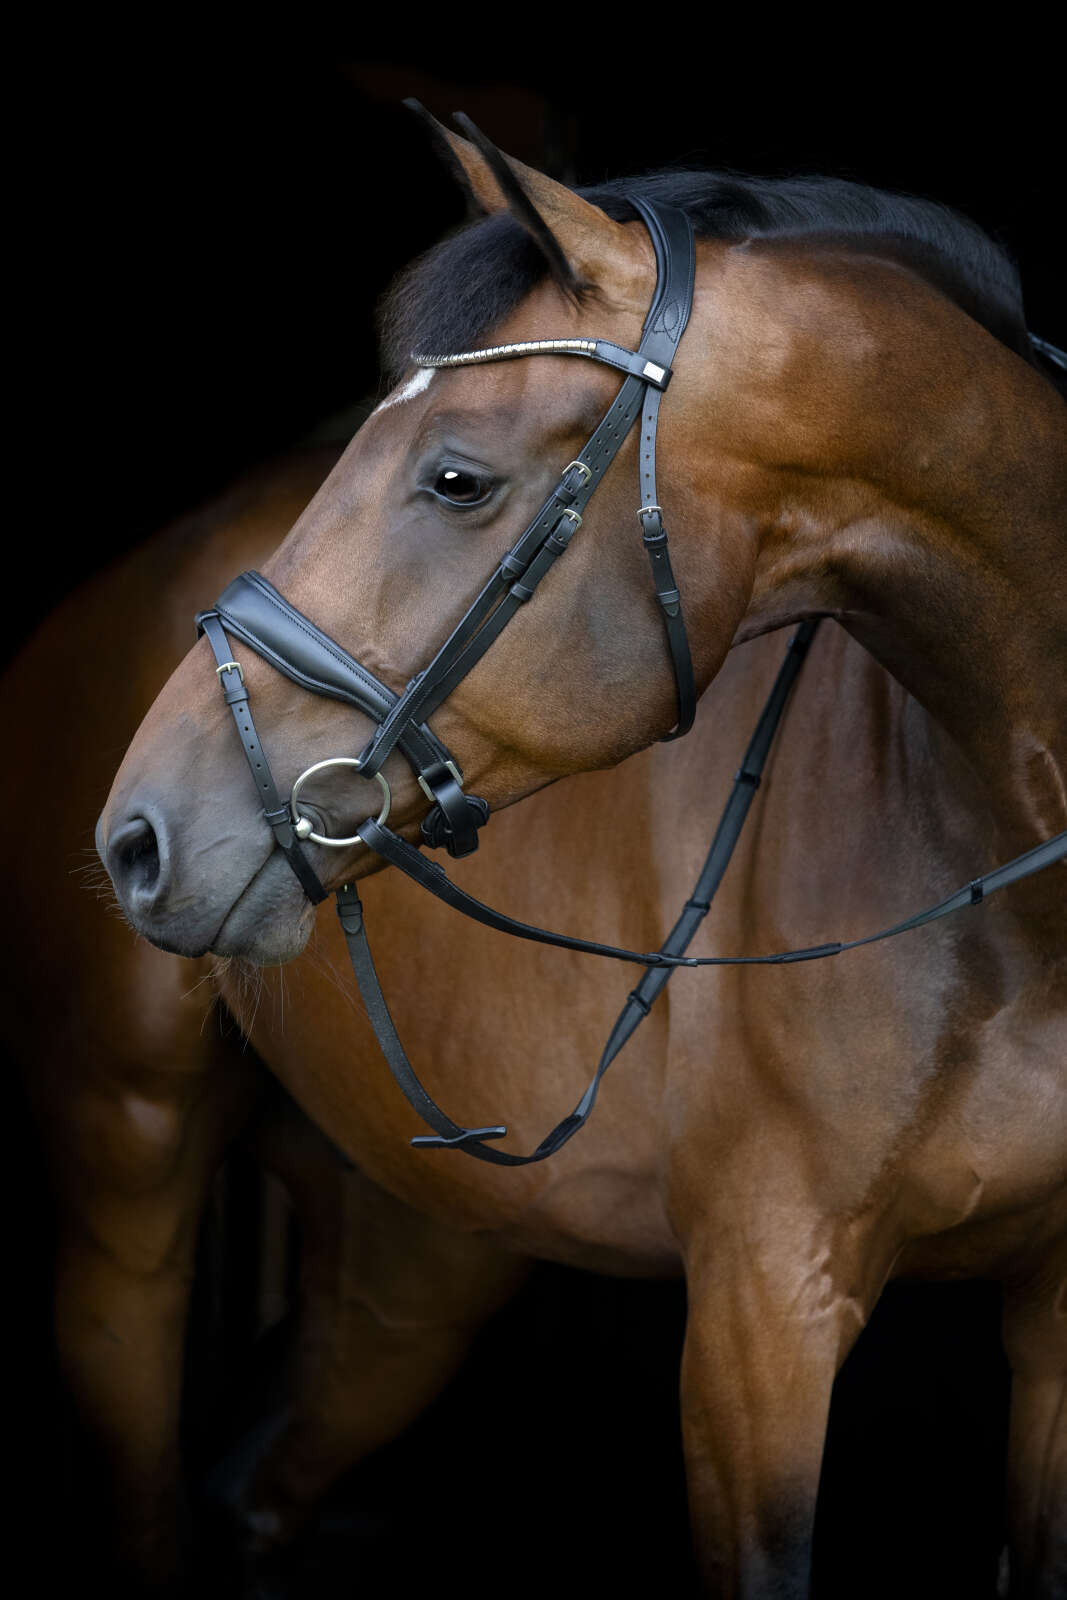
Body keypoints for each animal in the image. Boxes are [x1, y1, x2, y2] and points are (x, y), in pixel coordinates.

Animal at [55, 110, 1067, 1595]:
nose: (138, 836)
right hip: (126, 1196)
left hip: (418, 1255)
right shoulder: (760, 1319)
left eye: (455, 477)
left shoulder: (1047, 1331)